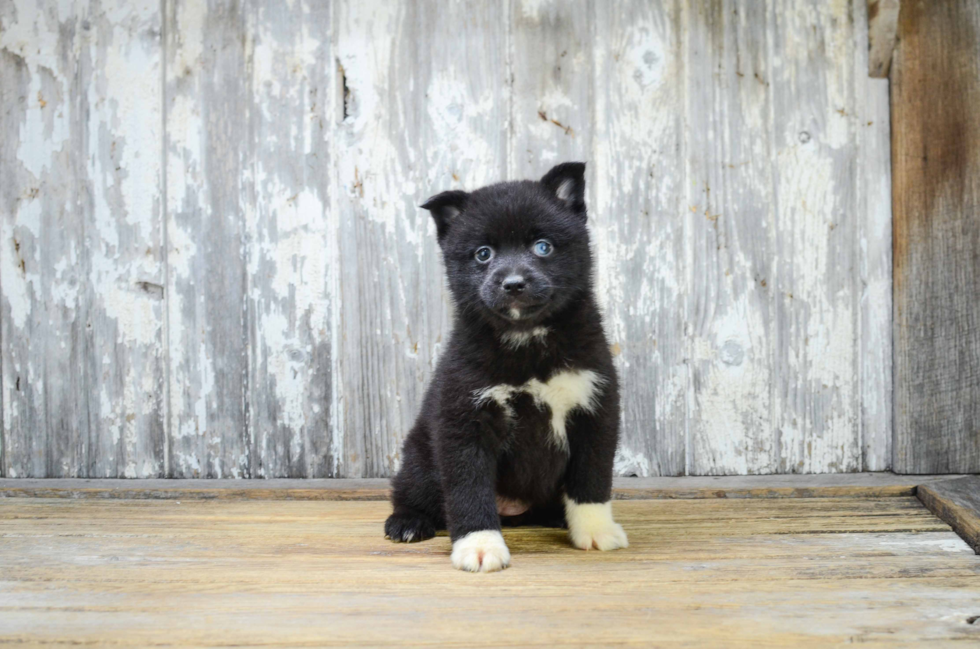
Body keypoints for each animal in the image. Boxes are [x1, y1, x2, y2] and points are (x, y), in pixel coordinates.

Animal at [384, 162, 628, 572]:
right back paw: (407, 522)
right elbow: (468, 490)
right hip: (418, 458)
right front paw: (479, 544)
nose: (513, 283)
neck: (527, 342)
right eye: (483, 254)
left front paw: (595, 528)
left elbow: (591, 479)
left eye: (543, 246)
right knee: (411, 492)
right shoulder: (465, 418)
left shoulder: (595, 409)